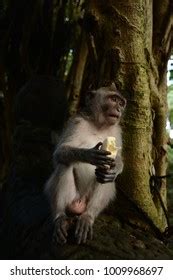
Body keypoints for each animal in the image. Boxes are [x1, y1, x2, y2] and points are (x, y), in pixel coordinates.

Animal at [45, 82, 126, 245]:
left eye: (121, 103)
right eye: (113, 99)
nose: (119, 109)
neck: (99, 125)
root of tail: (80, 203)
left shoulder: (117, 131)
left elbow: (118, 158)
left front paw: (115, 168)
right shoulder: (77, 122)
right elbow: (60, 152)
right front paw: (89, 154)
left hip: (88, 198)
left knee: (105, 178)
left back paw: (87, 216)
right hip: (72, 197)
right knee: (64, 164)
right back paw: (60, 217)